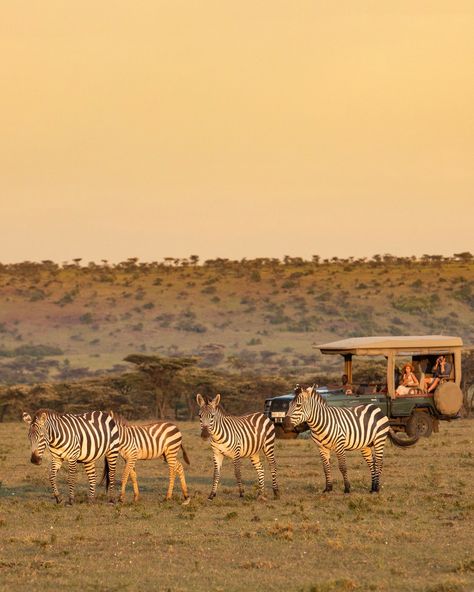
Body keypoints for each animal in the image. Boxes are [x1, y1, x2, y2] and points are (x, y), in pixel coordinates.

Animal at [282, 386, 418, 492]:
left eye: (298, 405)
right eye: (289, 405)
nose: (285, 424)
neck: (320, 424)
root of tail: (376, 408)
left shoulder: (339, 445)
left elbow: (343, 467)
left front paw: (347, 488)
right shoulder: (321, 448)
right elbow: (326, 468)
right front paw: (328, 488)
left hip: (379, 440)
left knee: (379, 462)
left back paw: (377, 488)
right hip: (366, 445)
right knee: (372, 463)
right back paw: (372, 487)